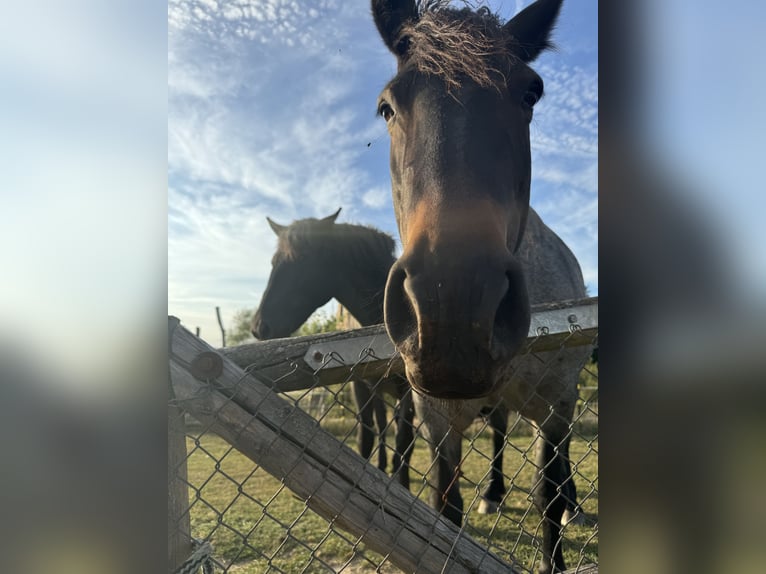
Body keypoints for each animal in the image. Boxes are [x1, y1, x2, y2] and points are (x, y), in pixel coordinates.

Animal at [252, 212, 416, 490]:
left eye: (301, 260)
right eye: (274, 262)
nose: (258, 326)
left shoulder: (409, 391)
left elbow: (404, 441)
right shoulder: (360, 385)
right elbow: (366, 438)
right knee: (382, 426)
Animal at [374, 2, 592, 572]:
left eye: (530, 93)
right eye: (386, 107)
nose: (453, 305)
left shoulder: (555, 405)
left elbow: (546, 494)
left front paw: (557, 537)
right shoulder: (439, 418)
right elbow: (445, 513)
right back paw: (493, 493)